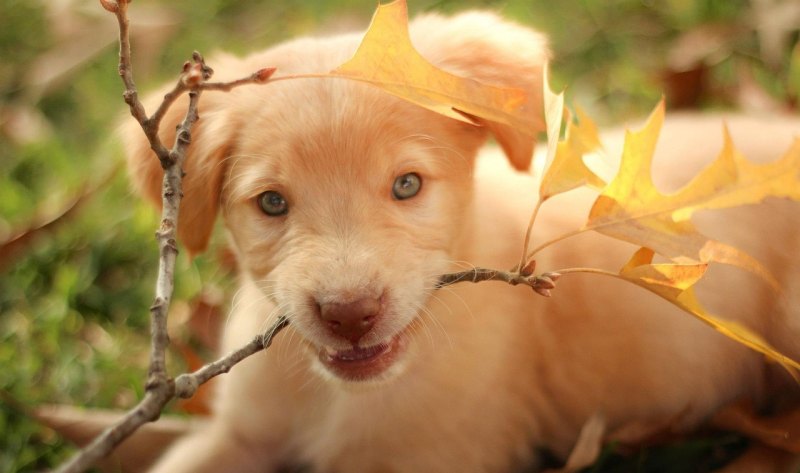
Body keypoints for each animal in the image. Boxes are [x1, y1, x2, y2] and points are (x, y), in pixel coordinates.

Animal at [125, 8, 800, 472]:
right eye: (271, 203)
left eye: (407, 185)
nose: (350, 316)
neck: (339, 397)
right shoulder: (239, 434)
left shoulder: (434, 454)